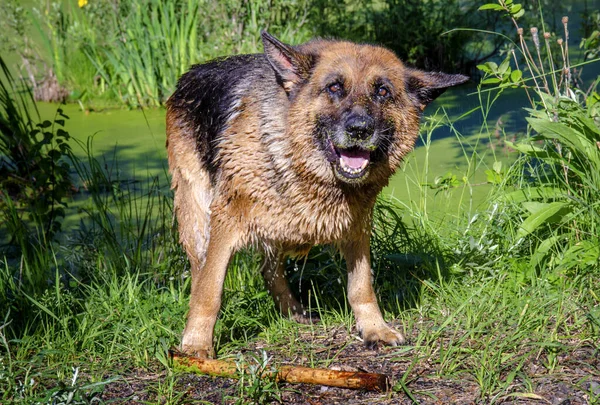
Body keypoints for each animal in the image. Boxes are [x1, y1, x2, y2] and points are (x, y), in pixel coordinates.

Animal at [165, 31, 468, 356]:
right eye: (334, 87)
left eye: (383, 92)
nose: (359, 129)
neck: (305, 167)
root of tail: (191, 72)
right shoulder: (226, 222)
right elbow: (209, 290)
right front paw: (196, 344)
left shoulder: (357, 227)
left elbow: (361, 286)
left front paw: (375, 328)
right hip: (198, 218)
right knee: (202, 273)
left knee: (269, 270)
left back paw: (293, 312)